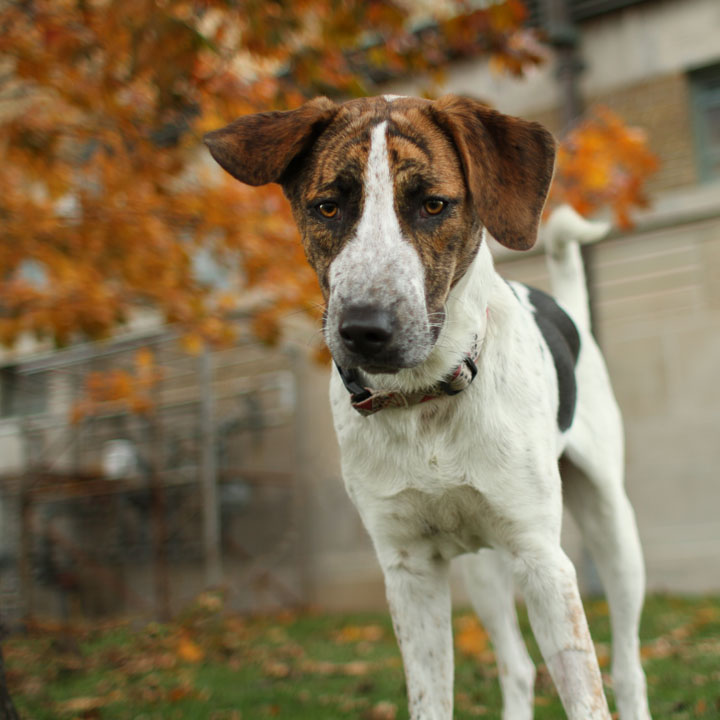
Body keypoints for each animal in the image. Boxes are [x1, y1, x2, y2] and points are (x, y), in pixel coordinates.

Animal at [204, 94, 652, 720]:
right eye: (327, 207)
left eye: (433, 204)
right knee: (516, 665)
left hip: (613, 529)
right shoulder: (409, 568)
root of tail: (571, 314)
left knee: (628, 666)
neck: (424, 400)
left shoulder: (543, 560)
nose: (364, 330)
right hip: (483, 567)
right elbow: (430, 695)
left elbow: (586, 697)